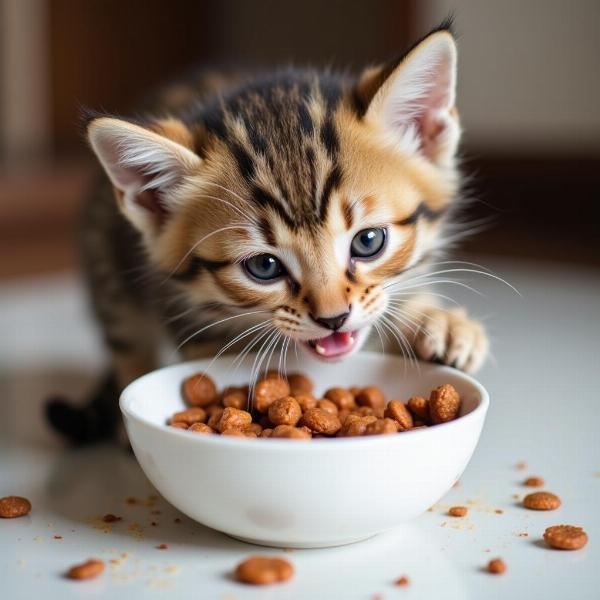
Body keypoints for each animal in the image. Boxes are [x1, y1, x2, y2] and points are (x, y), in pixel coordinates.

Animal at [47, 22, 488, 446]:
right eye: (264, 266)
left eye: (368, 242)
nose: (334, 319)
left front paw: (440, 322)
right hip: (105, 260)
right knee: (125, 334)